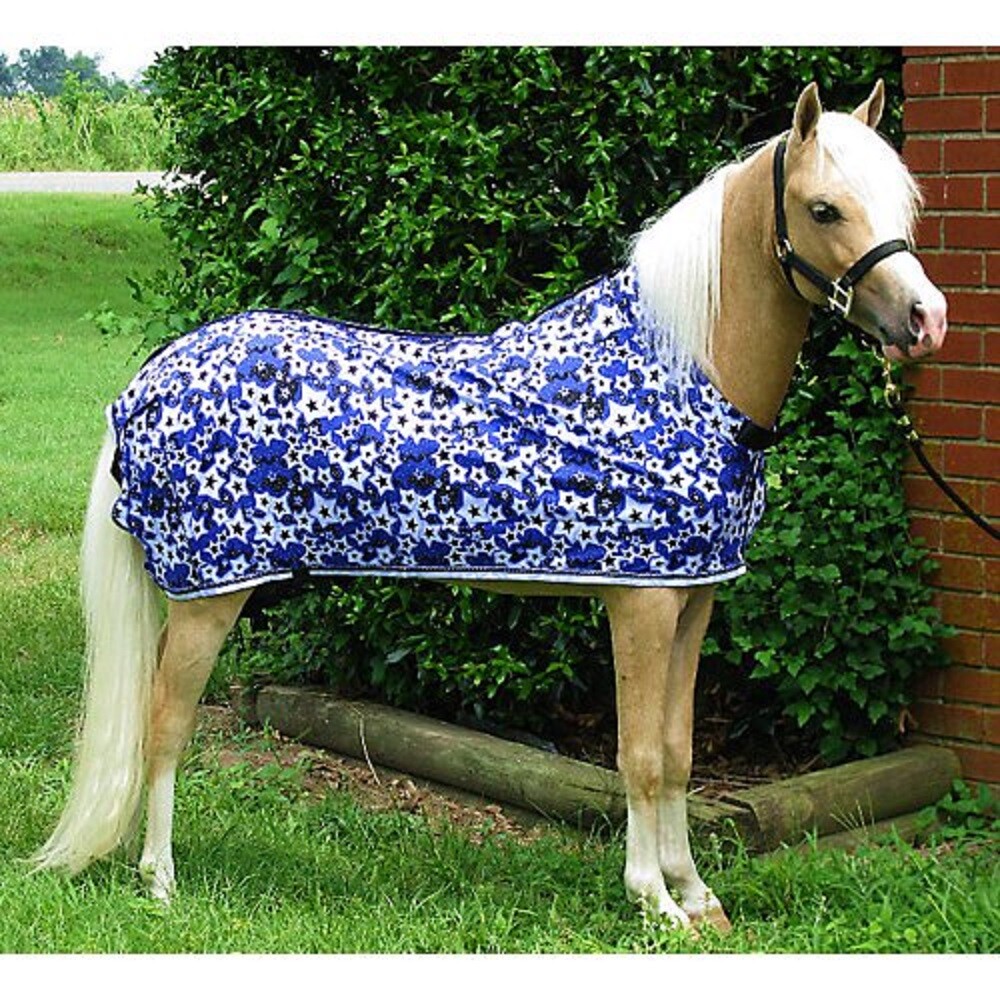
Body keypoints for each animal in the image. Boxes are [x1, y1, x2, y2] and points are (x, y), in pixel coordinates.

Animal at [32, 80, 947, 933]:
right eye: (823, 207)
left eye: (905, 201)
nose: (926, 319)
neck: (681, 373)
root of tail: (145, 383)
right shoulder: (642, 604)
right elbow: (640, 755)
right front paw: (653, 901)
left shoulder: (694, 598)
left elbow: (681, 751)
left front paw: (697, 897)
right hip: (210, 597)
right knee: (164, 725)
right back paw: (160, 883)